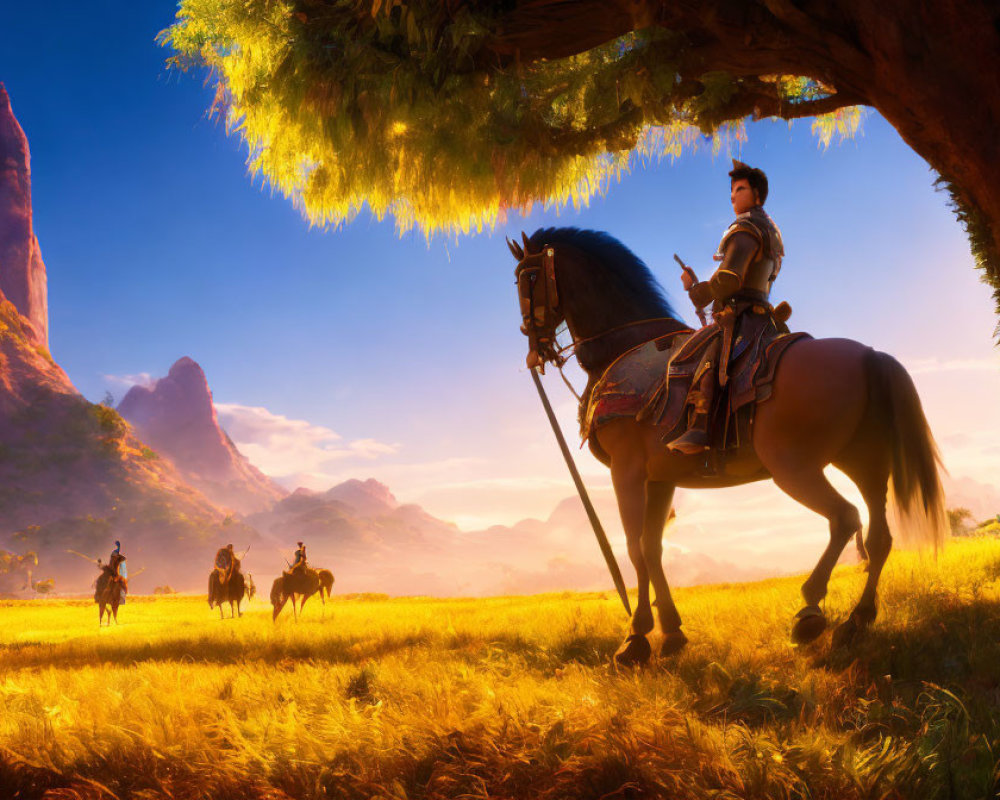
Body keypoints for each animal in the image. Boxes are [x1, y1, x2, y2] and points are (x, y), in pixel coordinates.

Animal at [508, 228, 944, 664]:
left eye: (525, 277)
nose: (533, 351)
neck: (625, 348)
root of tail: (869, 355)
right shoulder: (660, 479)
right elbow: (652, 546)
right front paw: (670, 632)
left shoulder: (627, 471)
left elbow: (634, 548)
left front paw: (635, 637)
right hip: (865, 463)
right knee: (879, 536)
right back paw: (856, 620)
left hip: (794, 467)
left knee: (845, 518)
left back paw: (809, 611)